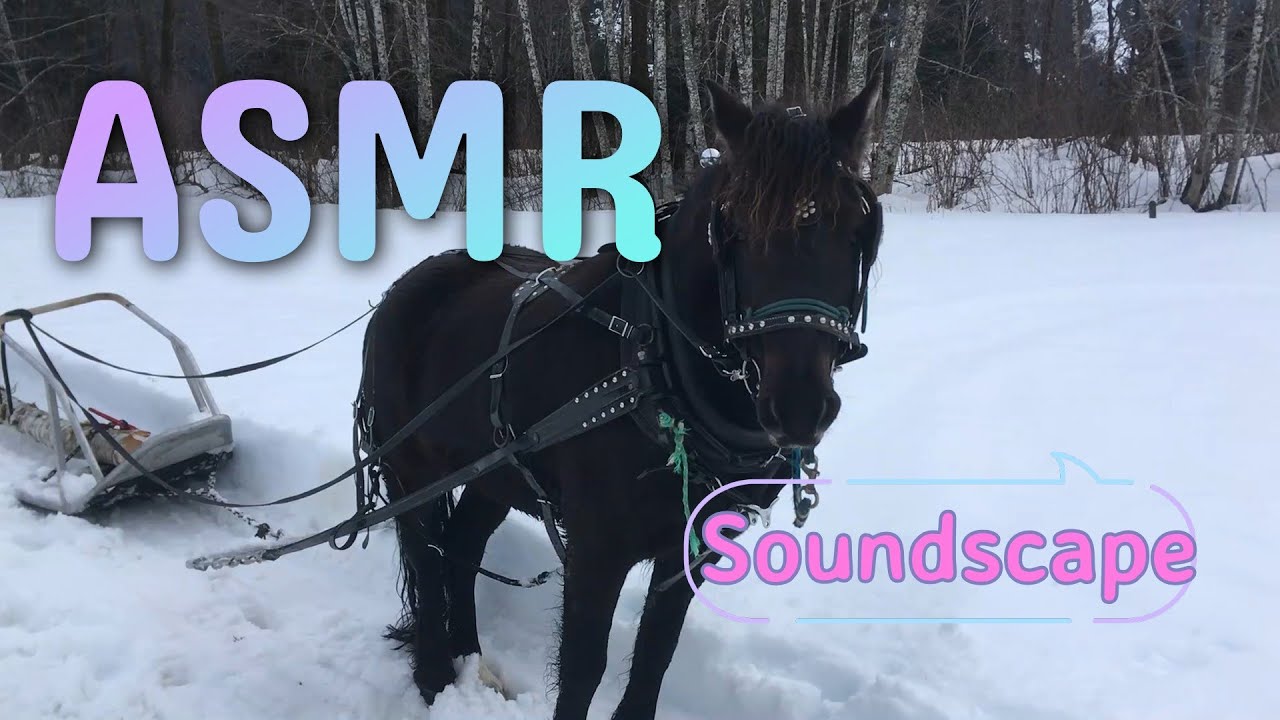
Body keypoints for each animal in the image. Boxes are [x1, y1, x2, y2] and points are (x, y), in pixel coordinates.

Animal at [356, 76, 884, 720]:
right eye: (735, 228)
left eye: (857, 230)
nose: (802, 407)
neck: (657, 370)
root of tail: (398, 292)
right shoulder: (597, 551)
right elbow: (584, 668)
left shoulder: (691, 551)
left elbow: (656, 651)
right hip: (411, 471)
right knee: (426, 560)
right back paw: (435, 675)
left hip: (494, 472)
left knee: (460, 547)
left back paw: (469, 658)